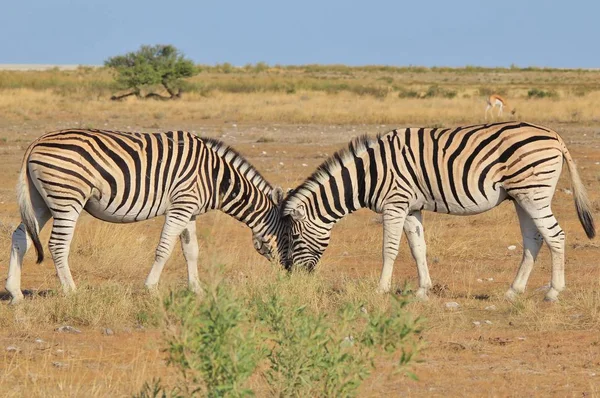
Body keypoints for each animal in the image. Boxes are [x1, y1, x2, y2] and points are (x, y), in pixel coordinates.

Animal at [7, 129, 288, 304]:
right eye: (291, 236)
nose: (289, 275)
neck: (216, 177)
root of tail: (36, 142)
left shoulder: (190, 212)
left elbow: (191, 251)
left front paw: (197, 289)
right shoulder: (181, 207)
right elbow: (164, 249)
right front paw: (151, 288)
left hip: (40, 201)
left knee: (20, 236)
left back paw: (14, 292)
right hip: (67, 197)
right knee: (57, 245)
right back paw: (72, 292)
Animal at [282, 121, 596, 302]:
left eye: (293, 239)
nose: (292, 276)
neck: (367, 174)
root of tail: (554, 136)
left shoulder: (395, 203)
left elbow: (389, 249)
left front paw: (381, 289)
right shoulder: (411, 208)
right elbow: (418, 248)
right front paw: (423, 289)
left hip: (533, 193)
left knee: (556, 236)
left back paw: (554, 292)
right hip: (521, 196)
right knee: (534, 239)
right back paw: (513, 291)